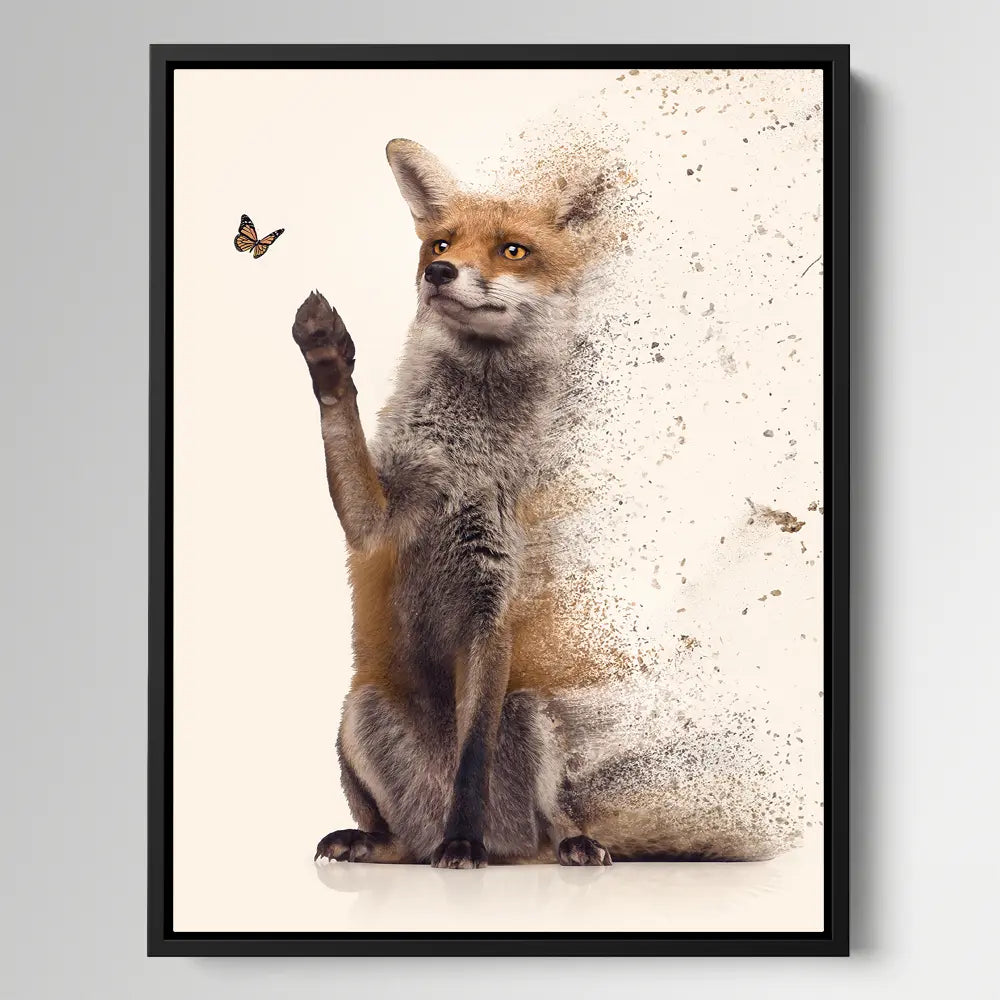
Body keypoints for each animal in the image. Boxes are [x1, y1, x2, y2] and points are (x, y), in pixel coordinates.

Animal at [296, 139, 760, 869]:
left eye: (512, 250)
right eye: (440, 243)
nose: (440, 273)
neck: (467, 460)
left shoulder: (493, 608)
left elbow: (472, 757)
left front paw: (463, 840)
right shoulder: (375, 524)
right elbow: (343, 431)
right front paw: (325, 355)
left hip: (534, 718)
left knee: (550, 821)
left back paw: (554, 844)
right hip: (358, 713)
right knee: (393, 835)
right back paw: (373, 839)